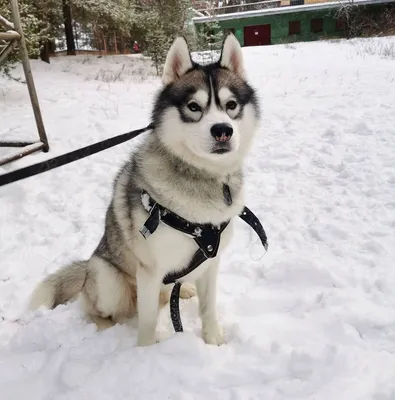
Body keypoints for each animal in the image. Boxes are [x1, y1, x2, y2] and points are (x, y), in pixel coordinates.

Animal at [29, 33, 262, 346]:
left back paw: (183, 290)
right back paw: (105, 328)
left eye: (232, 104)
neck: (204, 179)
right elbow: (149, 320)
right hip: (108, 281)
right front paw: (146, 350)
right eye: (193, 107)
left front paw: (213, 338)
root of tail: (87, 269)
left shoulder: (211, 262)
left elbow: (208, 306)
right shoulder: (149, 271)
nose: (223, 130)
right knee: (96, 309)